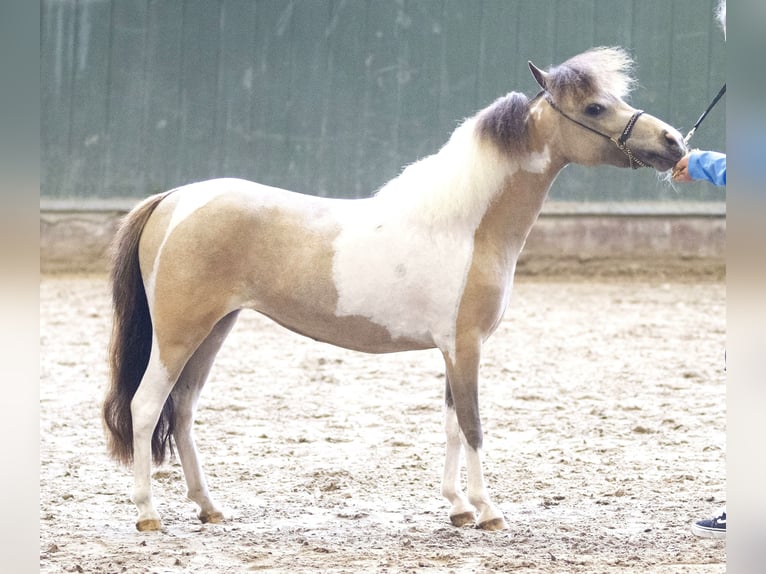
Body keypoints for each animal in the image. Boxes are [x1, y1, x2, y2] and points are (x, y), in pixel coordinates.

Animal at [103, 47, 688, 532]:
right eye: (594, 107)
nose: (674, 142)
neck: (463, 226)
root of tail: (174, 199)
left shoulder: (453, 350)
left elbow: (452, 425)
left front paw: (458, 507)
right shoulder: (467, 346)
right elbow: (473, 426)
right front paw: (489, 512)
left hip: (214, 330)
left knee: (182, 411)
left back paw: (210, 507)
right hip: (180, 334)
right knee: (146, 406)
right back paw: (148, 514)